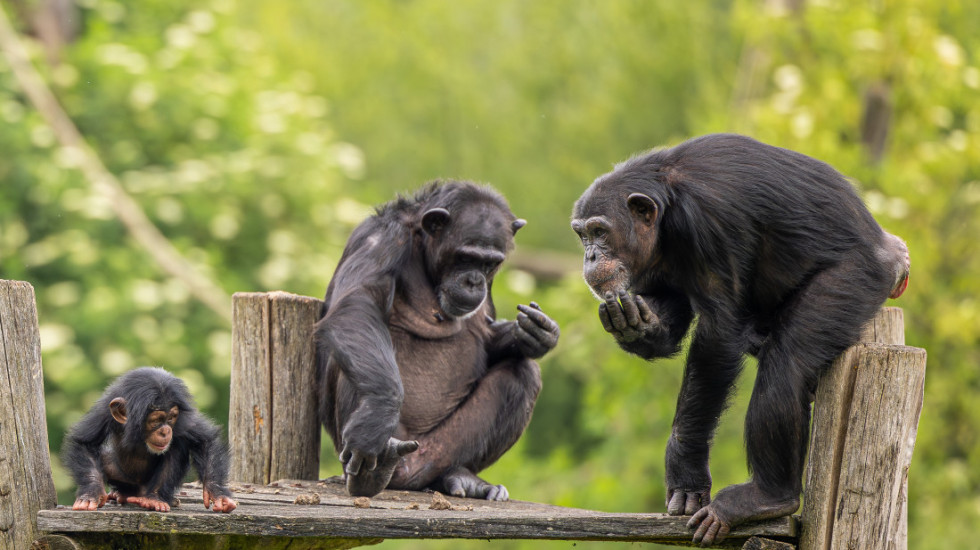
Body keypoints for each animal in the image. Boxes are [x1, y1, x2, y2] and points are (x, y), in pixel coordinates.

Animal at [63, 368, 237, 516]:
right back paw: (120, 494)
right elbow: (86, 442)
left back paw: (153, 499)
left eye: (171, 418)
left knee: (176, 447)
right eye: (156, 420)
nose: (165, 431)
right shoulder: (104, 411)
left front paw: (218, 493)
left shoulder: (185, 419)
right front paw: (91, 494)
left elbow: (205, 440)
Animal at [314, 182, 560, 504]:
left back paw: (460, 477)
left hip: (434, 450)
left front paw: (536, 333)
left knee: (522, 374)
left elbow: (489, 339)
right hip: (391, 440)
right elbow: (358, 304)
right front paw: (376, 416)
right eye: (466, 257)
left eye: (490, 263)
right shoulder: (380, 238)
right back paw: (372, 472)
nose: (474, 281)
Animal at [572, 135, 916, 548]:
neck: (669, 202)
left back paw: (768, 496)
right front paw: (635, 325)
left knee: (786, 364)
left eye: (600, 231)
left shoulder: (710, 220)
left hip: (856, 277)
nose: (591, 255)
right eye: (582, 234)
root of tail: (893, 252)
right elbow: (669, 307)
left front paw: (686, 473)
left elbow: (717, 335)